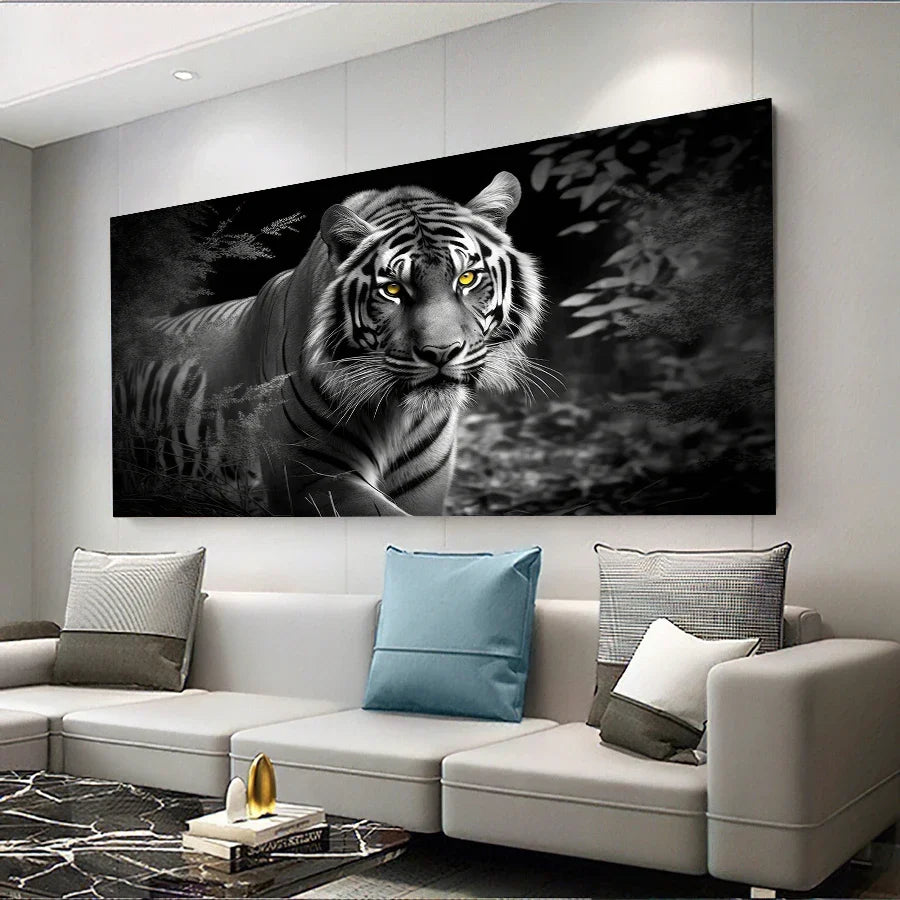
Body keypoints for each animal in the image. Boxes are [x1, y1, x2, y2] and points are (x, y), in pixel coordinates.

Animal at [114, 171, 545, 516]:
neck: (396, 416)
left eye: (467, 278)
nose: (441, 353)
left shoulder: (425, 489)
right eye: (392, 289)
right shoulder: (310, 479)